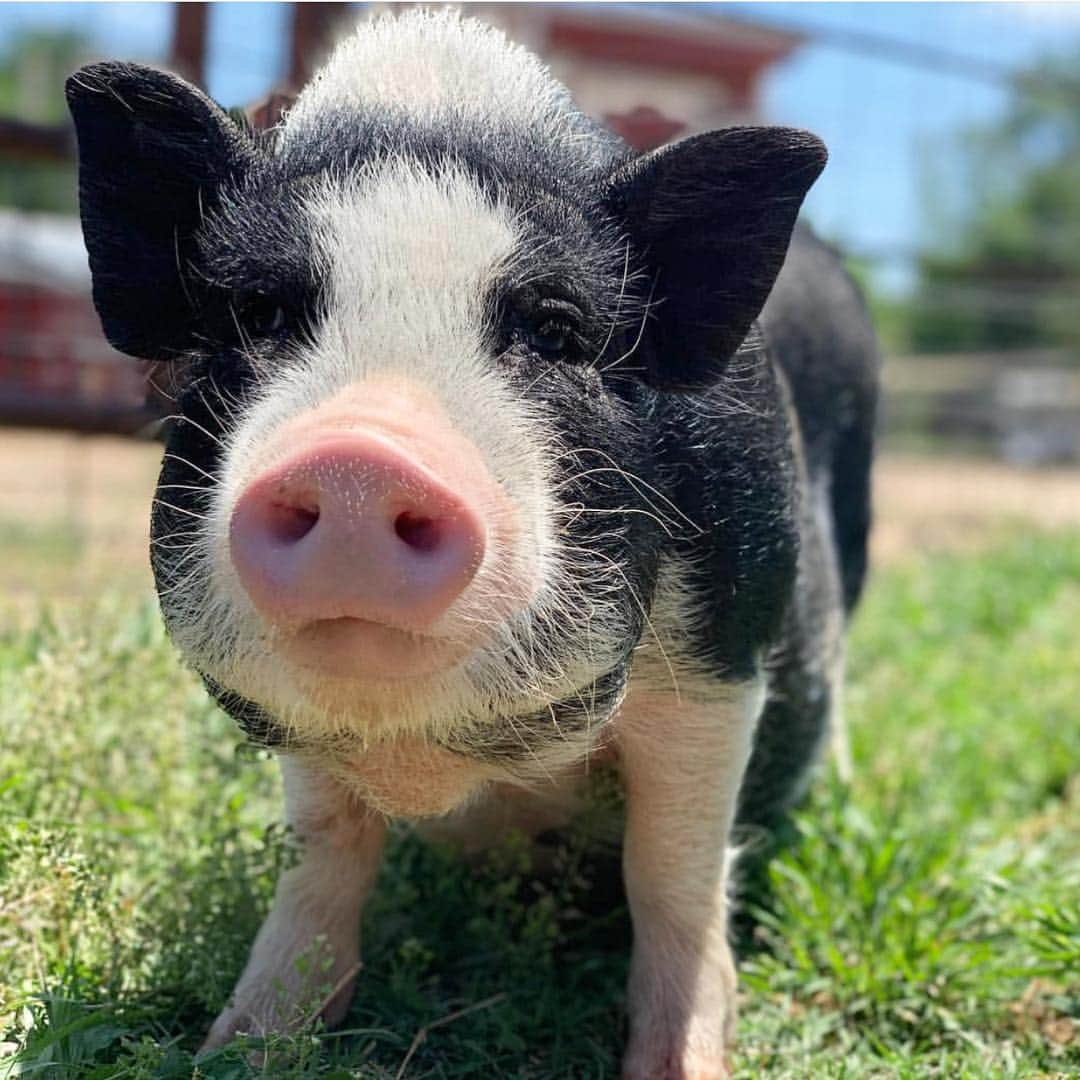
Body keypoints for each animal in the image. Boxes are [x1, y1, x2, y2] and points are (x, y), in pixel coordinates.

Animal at [65, 10, 876, 1080]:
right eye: (261, 313)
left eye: (558, 331)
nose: (361, 457)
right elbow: (322, 852)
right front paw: (238, 1048)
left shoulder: (725, 652)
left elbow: (673, 869)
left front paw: (681, 1064)